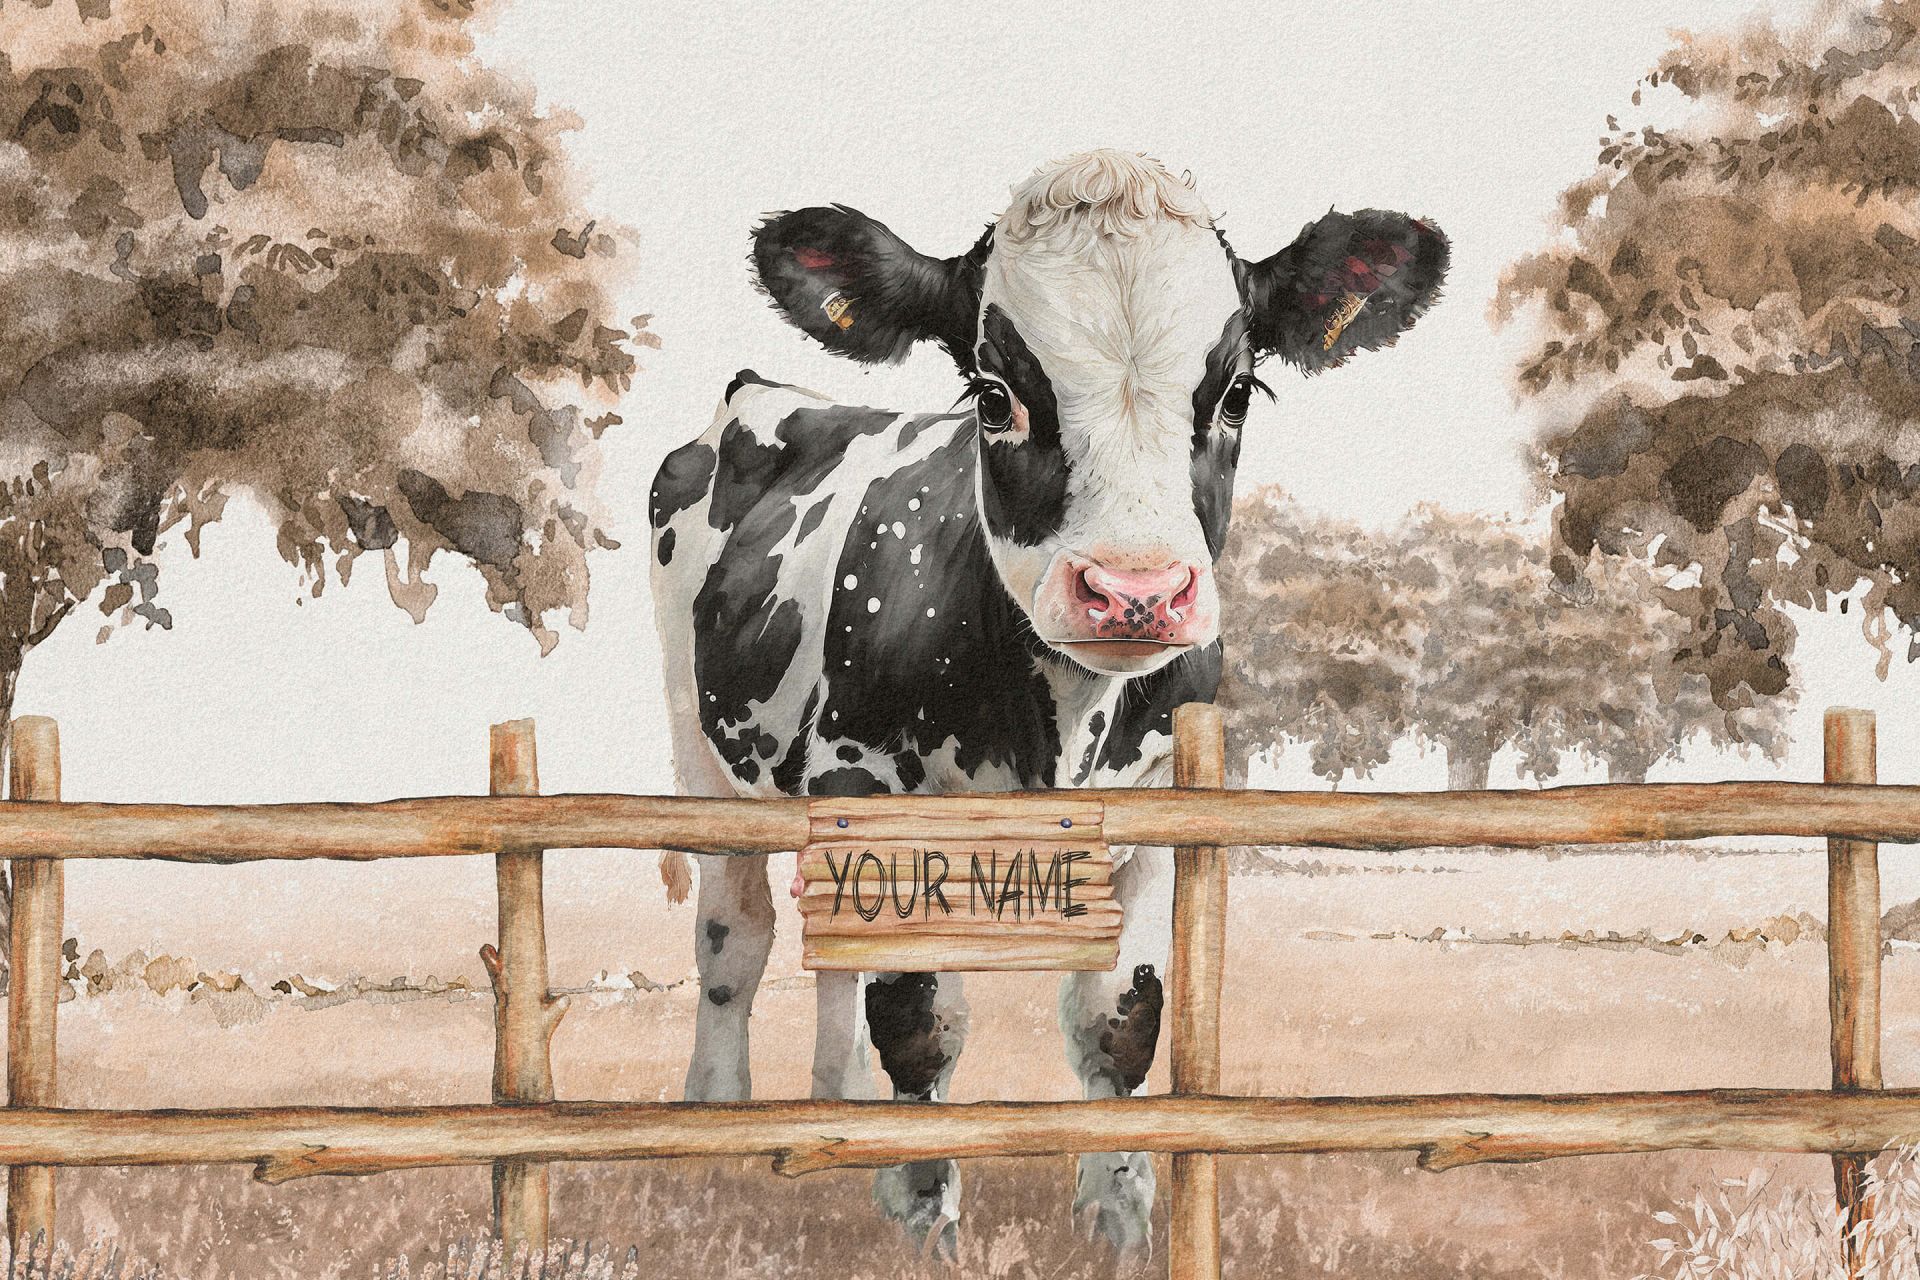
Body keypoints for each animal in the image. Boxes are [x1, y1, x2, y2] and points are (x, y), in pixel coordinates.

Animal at [648, 150, 1447, 1257]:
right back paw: (719, 1123)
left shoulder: (1158, 804)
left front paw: (1117, 1219)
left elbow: (1121, 1017)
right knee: (735, 937)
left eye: (1238, 390)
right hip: (705, 758)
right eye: (994, 397)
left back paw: (841, 1124)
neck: (1056, 728)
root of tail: (765, 391)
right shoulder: (873, 784)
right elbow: (920, 1017)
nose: (1135, 590)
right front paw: (928, 1219)